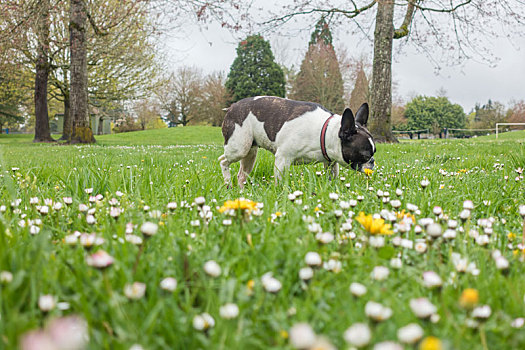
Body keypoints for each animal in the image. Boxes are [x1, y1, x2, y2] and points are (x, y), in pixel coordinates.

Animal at [219, 96, 374, 186]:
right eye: (365, 155)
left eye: (374, 152)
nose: (372, 162)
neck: (324, 131)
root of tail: (232, 107)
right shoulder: (283, 158)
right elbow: (279, 182)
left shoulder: (331, 163)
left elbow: (332, 177)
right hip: (239, 148)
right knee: (223, 160)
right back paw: (227, 183)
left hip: (250, 153)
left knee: (241, 174)